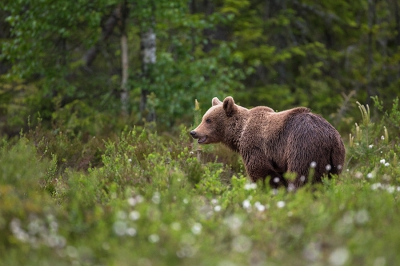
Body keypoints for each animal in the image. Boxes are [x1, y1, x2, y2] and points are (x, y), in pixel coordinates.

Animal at [190, 95, 344, 189]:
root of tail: (330, 137)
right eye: (204, 118)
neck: (240, 133)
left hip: (302, 147)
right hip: (336, 158)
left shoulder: (255, 147)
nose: (193, 132)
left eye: (208, 120)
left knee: (301, 177)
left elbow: (261, 172)